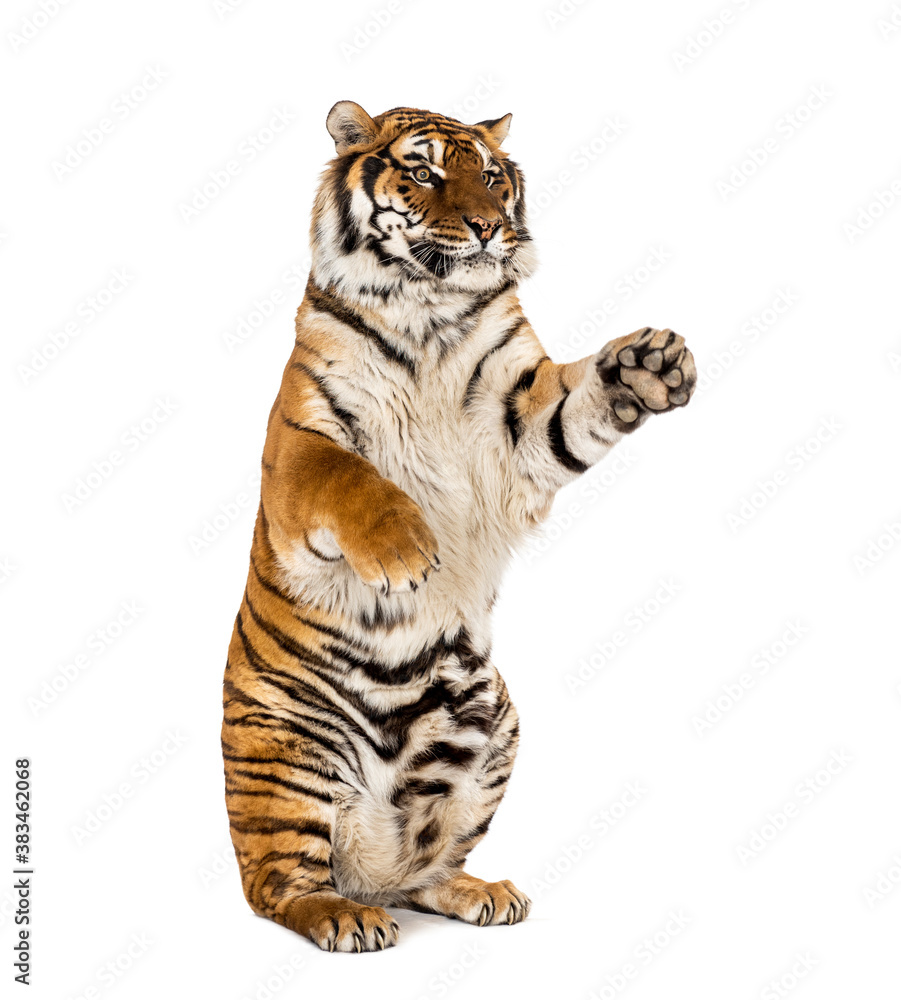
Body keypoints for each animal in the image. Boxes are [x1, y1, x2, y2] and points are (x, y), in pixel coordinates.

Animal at [221, 100, 696, 953]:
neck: (428, 313)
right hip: (289, 752)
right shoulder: (299, 441)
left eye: (493, 176)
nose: (485, 227)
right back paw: (343, 918)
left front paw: (648, 364)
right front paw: (406, 551)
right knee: (277, 886)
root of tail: (366, 873)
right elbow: (351, 479)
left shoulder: (521, 422)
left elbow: (577, 402)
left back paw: (478, 893)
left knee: (421, 869)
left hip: (493, 728)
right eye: (423, 171)